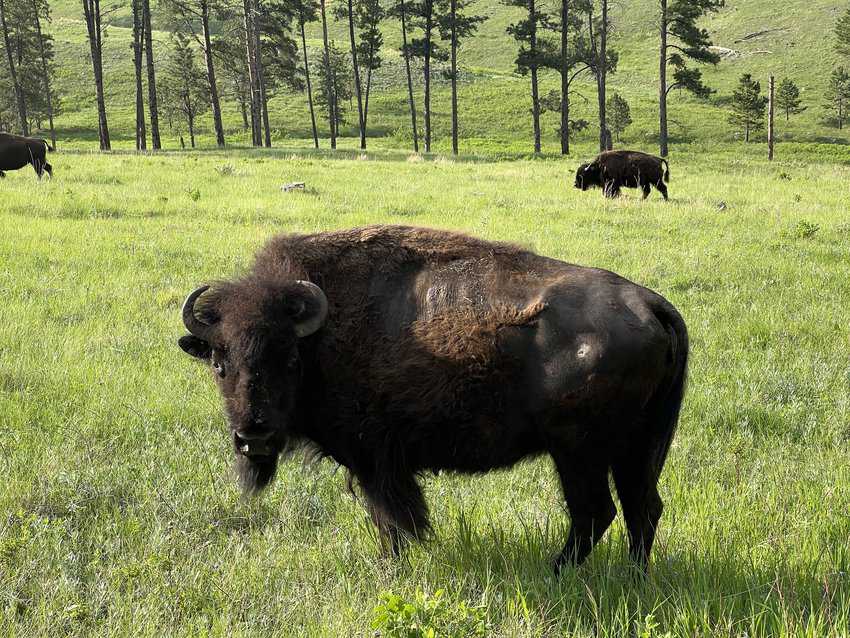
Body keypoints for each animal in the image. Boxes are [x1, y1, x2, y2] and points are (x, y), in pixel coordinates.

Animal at [178, 225, 688, 571]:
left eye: (289, 359)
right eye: (219, 362)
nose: (254, 434)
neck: (321, 334)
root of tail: (651, 304)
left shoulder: (376, 460)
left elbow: (393, 520)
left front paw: (393, 566)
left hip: (578, 451)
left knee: (596, 513)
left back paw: (556, 572)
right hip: (636, 448)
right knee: (641, 508)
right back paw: (632, 578)